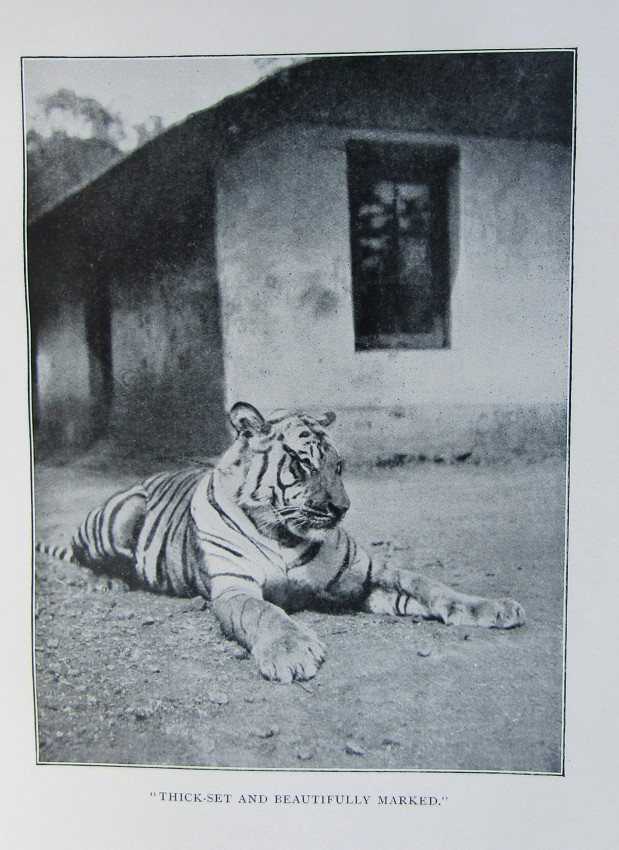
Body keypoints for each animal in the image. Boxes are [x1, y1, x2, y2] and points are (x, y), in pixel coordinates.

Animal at [36, 402, 525, 683]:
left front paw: (491, 607)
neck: (284, 533)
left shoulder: (367, 575)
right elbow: (264, 613)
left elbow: (428, 585)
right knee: (81, 554)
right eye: (304, 465)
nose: (342, 508)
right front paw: (292, 652)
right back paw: (106, 581)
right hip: (121, 513)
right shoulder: (235, 588)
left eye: (339, 467)